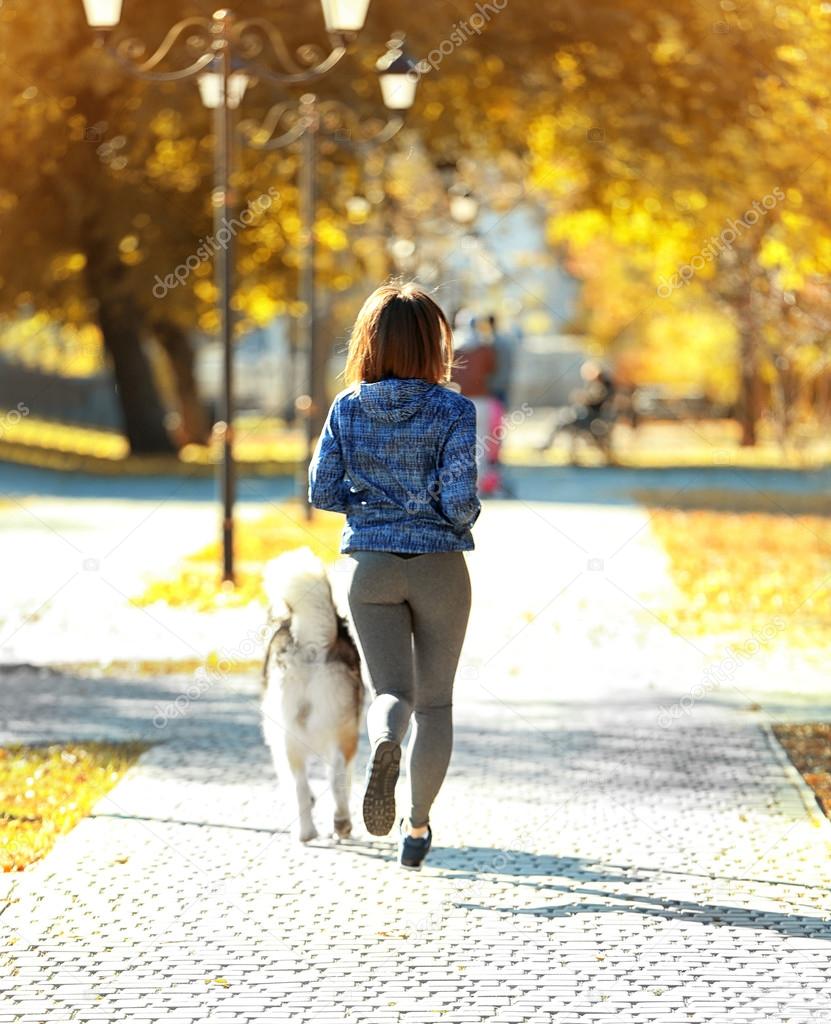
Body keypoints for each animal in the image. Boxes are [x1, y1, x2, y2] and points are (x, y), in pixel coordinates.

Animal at [260, 548, 362, 843]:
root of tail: (312, 647)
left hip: (294, 736)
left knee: (306, 784)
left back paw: (313, 830)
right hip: (335, 730)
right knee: (330, 776)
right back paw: (333, 825)